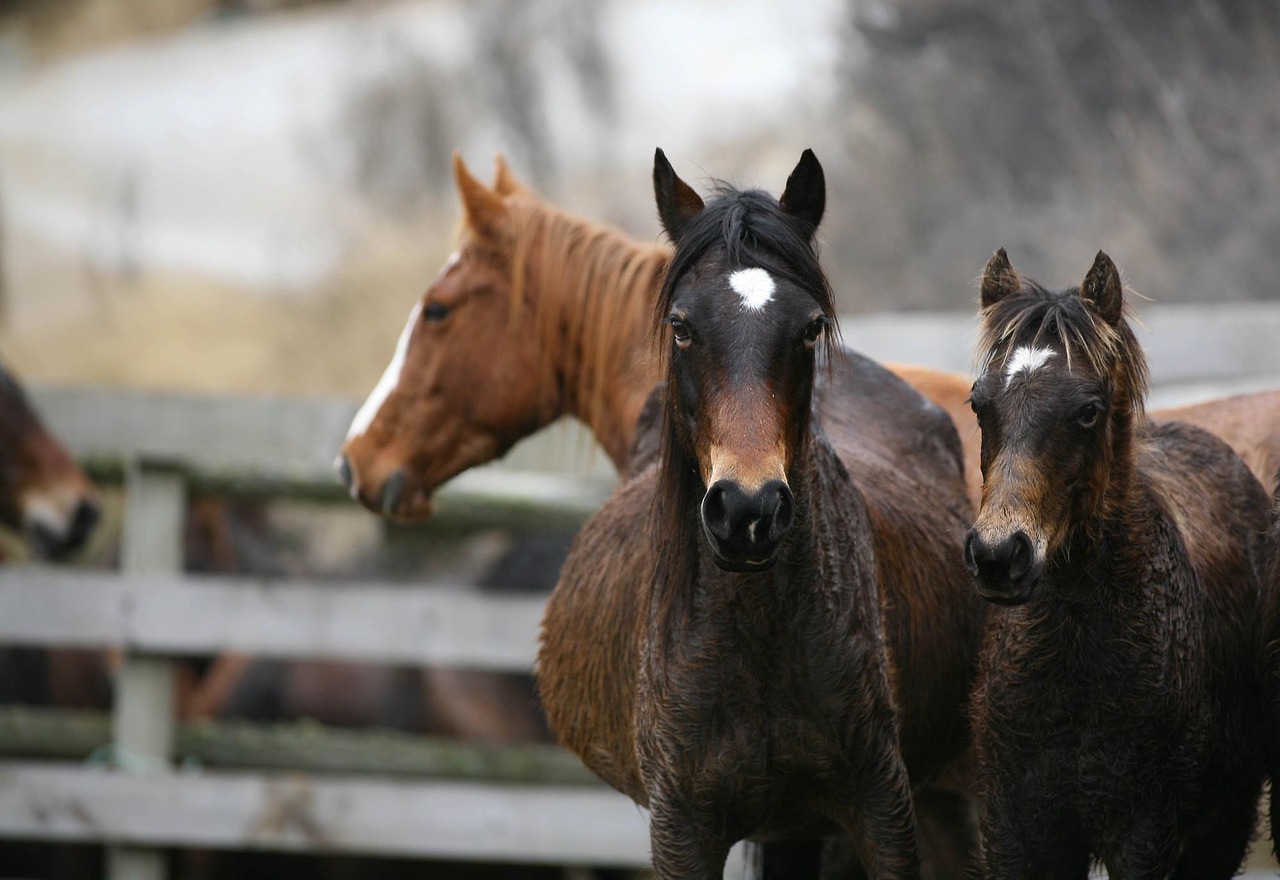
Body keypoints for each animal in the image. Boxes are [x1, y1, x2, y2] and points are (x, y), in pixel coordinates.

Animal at [535, 150, 983, 880]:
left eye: (809, 327)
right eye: (681, 326)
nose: (748, 511)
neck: (758, 638)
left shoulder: (883, 810)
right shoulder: (683, 828)